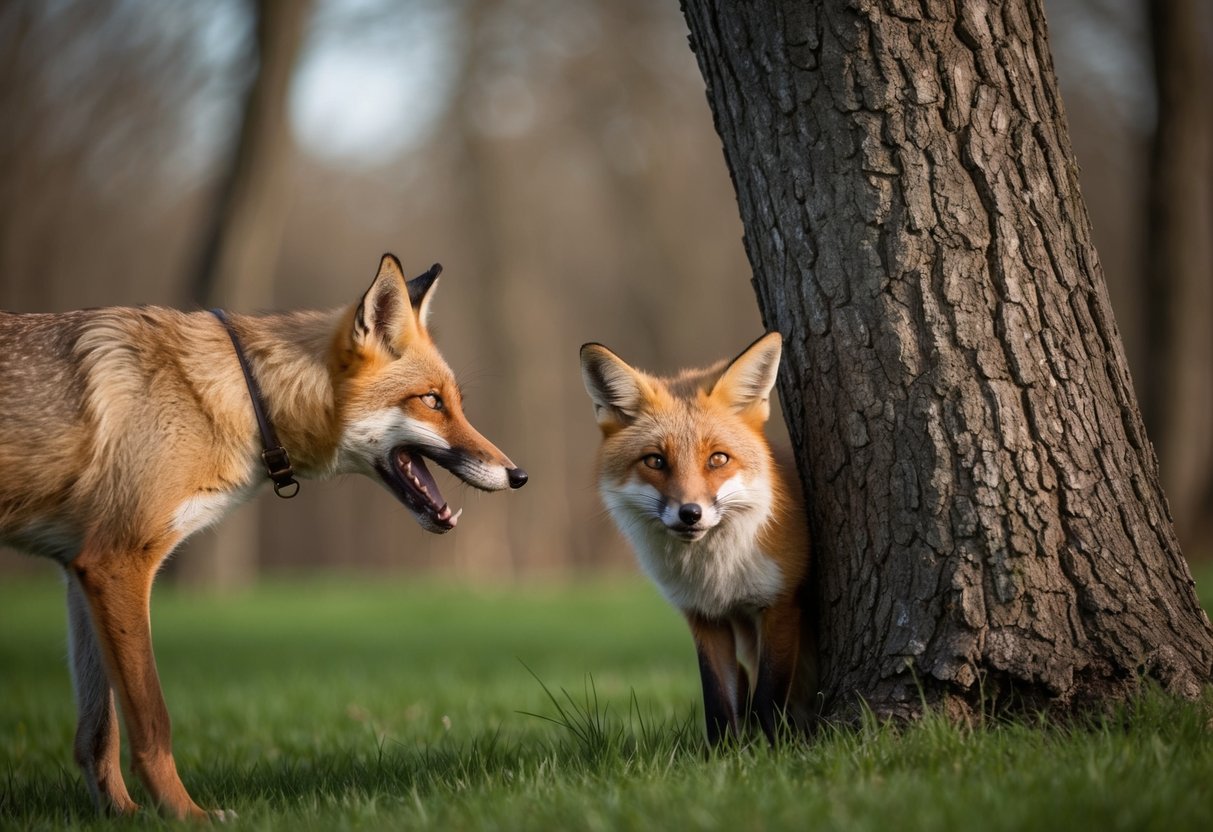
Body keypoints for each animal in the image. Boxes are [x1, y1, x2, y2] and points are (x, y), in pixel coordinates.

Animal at [0, 253, 527, 819]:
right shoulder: (118, 561)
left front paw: (124, 817)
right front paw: (186, 817)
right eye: (431, 401)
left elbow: (98, 736)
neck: (244, 398)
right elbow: (152, 721)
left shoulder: (80, 567)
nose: (519, 475)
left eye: (457, 403)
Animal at [579, 332, 815, 746]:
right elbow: (718, 699)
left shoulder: (780, 605)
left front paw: (771, 750)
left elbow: (768, 696)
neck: (718, 578)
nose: (690, 513)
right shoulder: (703, 617)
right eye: (655, 461)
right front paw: (723, 754)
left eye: (718, 459)